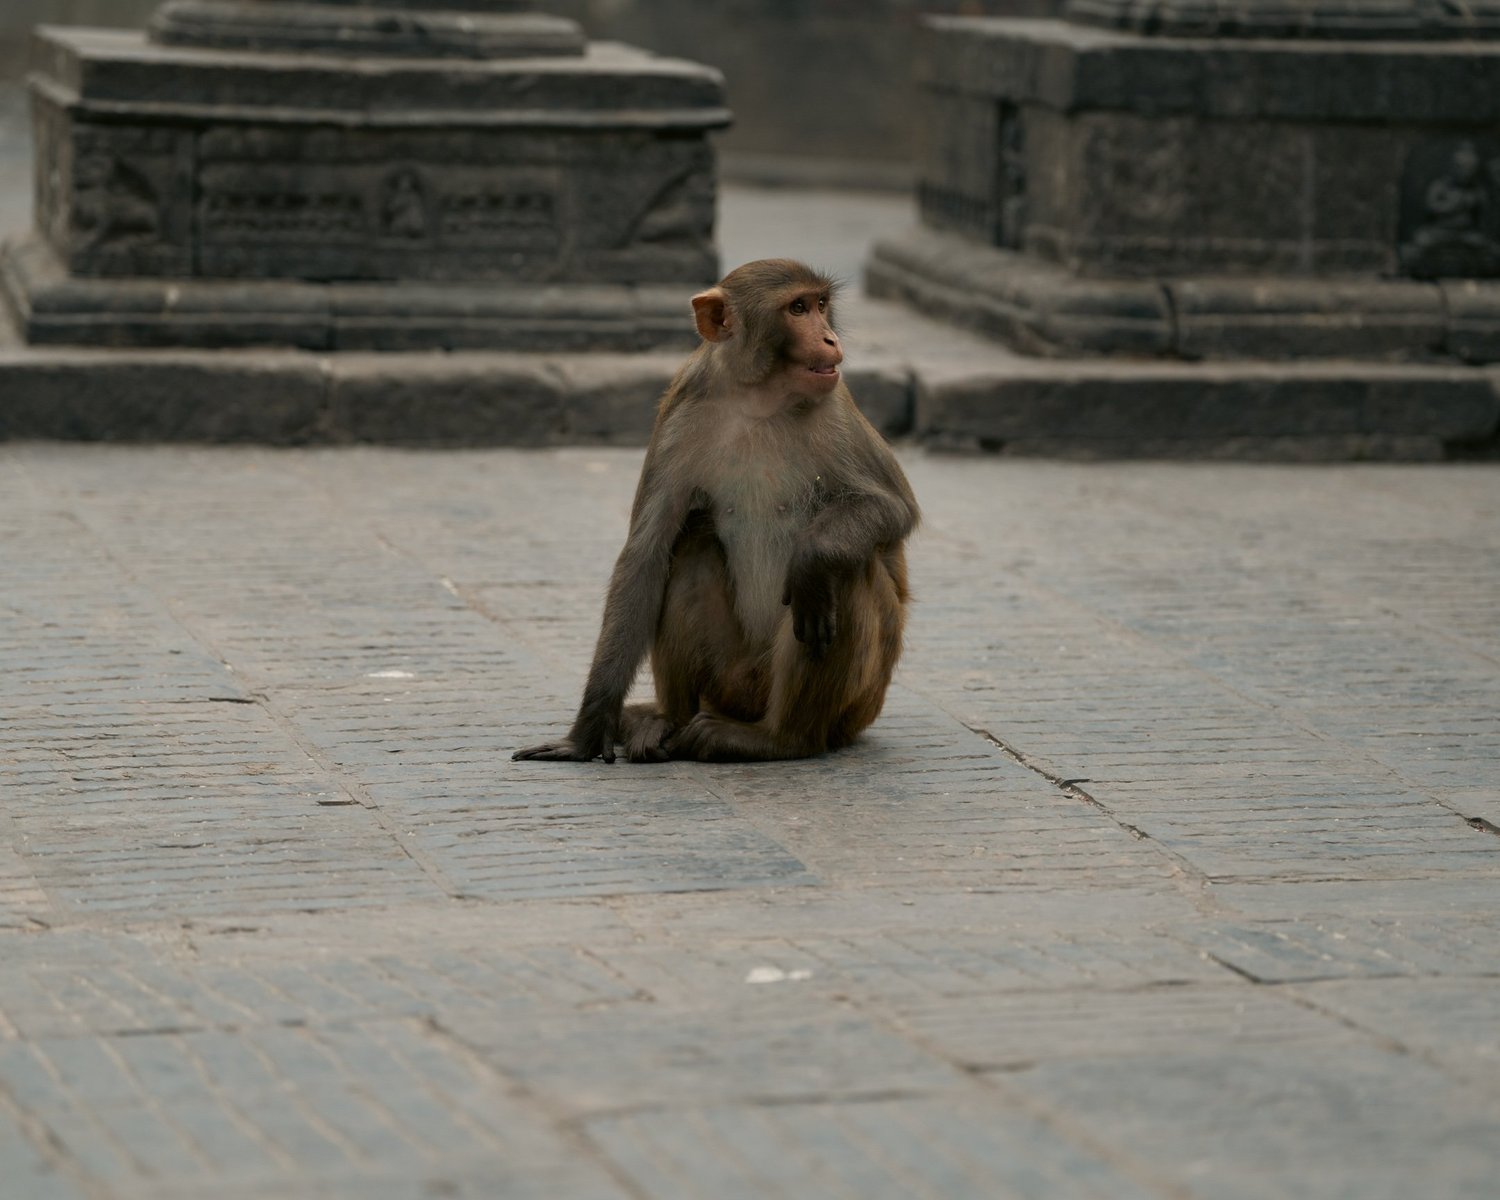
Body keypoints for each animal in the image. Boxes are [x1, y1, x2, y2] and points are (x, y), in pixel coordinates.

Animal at [513, 258, 918, 763]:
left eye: (821, 304)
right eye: (798, 308)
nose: (828, 338)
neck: (758, 397)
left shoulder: (836, 407)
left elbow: (893, 507)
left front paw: (814, 557)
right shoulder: (681, 413)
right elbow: (646, 554)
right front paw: (588, 731)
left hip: (854, 707)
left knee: (845, 572)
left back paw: (779, 739)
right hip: (729, 683)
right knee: (693, 542)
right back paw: (663, 722)